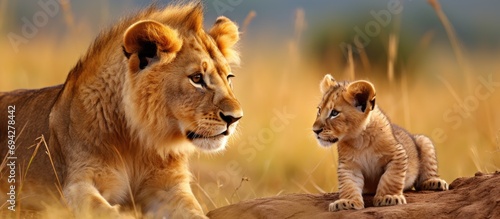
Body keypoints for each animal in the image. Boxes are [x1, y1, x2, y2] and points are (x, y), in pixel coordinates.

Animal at [0, 2, 242, 218]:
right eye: (197, 78)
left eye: (229, 78)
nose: (235, 118)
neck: (138, 142)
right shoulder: (77, 183)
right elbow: (103, 210)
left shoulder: (170, 187)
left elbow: (195, 212)